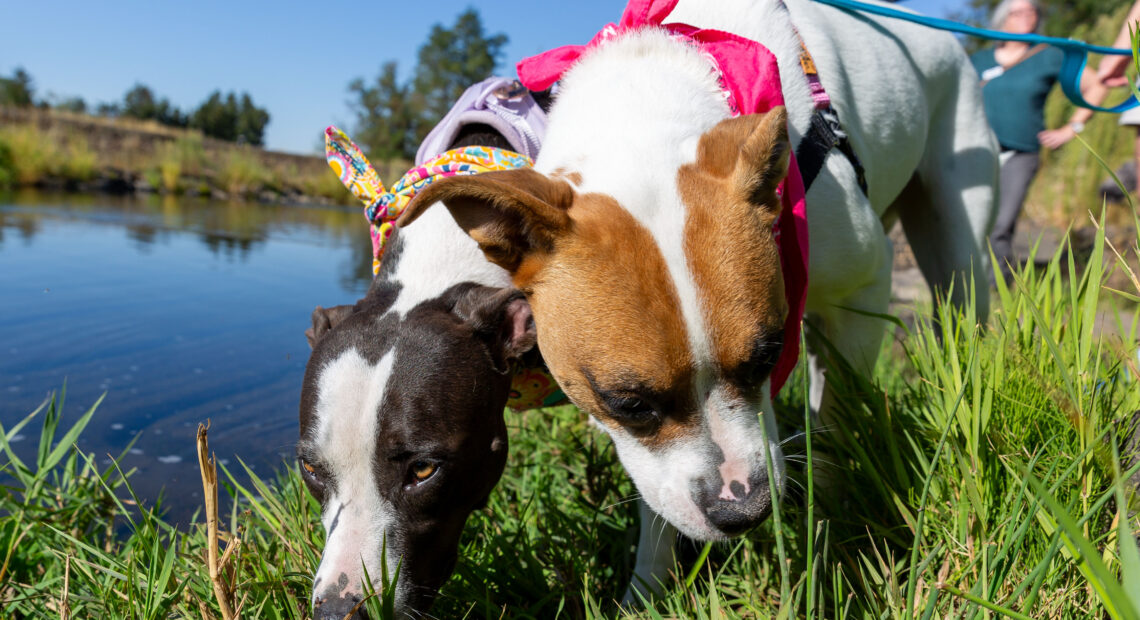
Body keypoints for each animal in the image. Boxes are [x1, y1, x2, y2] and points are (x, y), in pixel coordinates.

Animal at [401, 0, 998, 606]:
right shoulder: (651, 453)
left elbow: (834, 419)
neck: (651, 87)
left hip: (958, 233)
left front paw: (827, 535)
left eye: (768, 356)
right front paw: (646, 591)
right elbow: (660, 495)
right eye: (628, 403)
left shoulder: (861, 291)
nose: (744, 511)